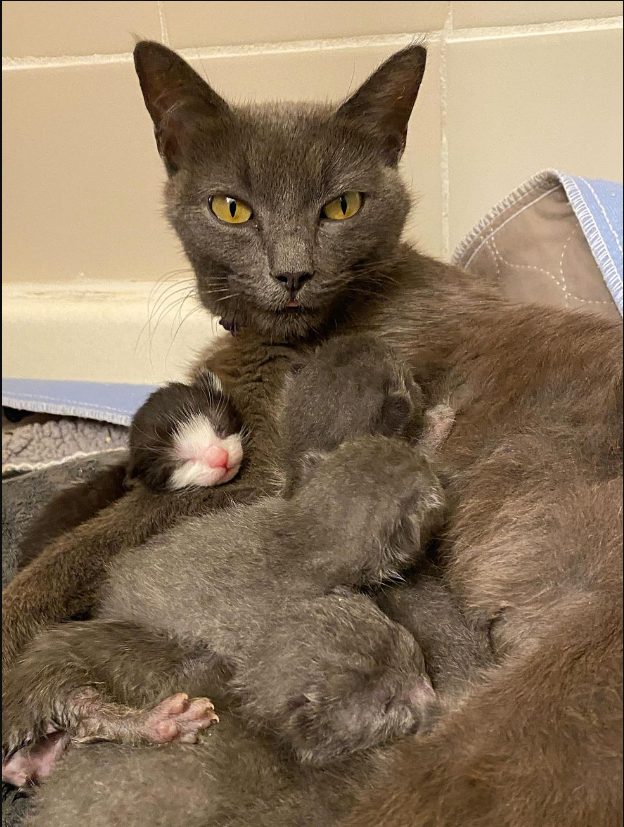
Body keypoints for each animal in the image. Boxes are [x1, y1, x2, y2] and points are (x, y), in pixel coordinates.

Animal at [0, 338, 448, 788]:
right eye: (403, 377)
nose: (373, 339)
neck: (299, 528)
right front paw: (437, 427)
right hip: (65, 681)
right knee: (88, 713)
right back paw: (159, 721)